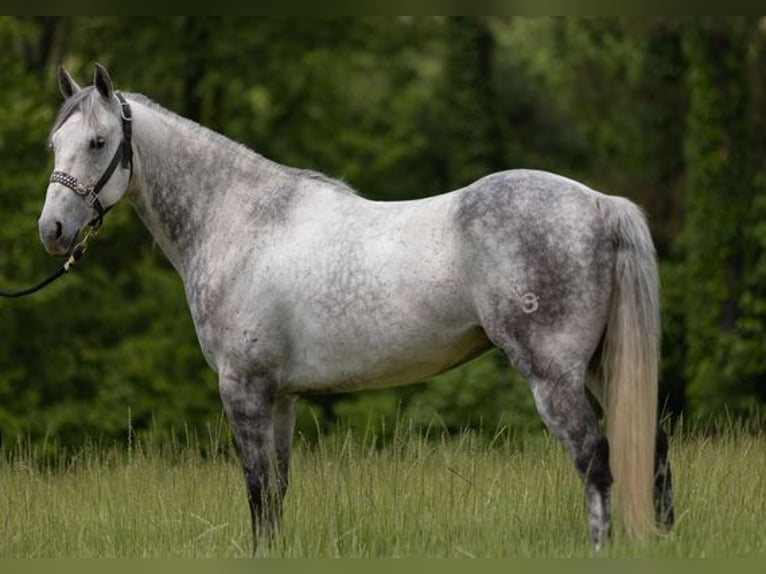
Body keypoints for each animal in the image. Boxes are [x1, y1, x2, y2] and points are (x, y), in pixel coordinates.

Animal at [39, 65, 676, 552]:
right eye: (54, 144)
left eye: (98, 143)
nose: (52, 231)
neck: (243, 222)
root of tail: (600, 203)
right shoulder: (281, 397)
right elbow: (277, 492)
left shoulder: (243, 389)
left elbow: (256, 488)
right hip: (600, 367)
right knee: (653, 449)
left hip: (553, 375)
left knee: (594, 459)